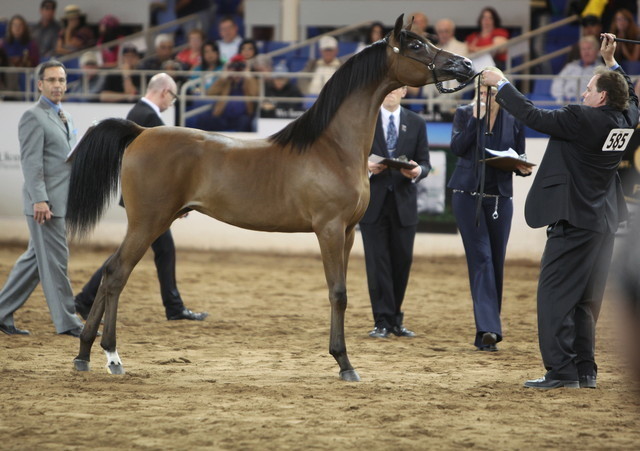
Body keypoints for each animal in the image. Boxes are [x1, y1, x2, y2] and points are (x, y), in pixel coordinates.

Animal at [66, 14, 474, 381]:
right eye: (416, 46)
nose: (466, 65)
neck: (332, 148)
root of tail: (139, 132)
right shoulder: (329, 230)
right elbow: (337, 292)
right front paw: (345, 363)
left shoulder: (348, 232)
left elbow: (342, 291)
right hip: (149, 221)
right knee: (117, 274)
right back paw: (112, 357)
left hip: (149, 223)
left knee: (109, 271)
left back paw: (84, 354)